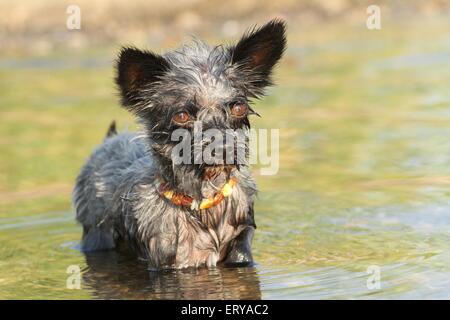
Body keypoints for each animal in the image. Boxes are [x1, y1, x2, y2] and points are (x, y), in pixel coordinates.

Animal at [72, 18, 286, 268]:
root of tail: (110, 139)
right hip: (96, 236)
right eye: (182, 115)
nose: (224, 149)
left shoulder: (241, 244)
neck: (203, 202)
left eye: (238, 107)